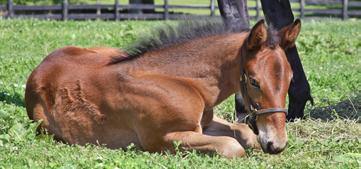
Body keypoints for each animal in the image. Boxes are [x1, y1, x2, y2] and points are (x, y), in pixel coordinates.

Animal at [24, 19, 300, 158]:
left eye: (290, 79)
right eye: (254, 81)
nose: (276, 144)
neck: (181, 80)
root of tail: (41, 65)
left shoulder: (204, 122)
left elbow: (244, 132)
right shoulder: (161, 139)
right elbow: (232, 146)